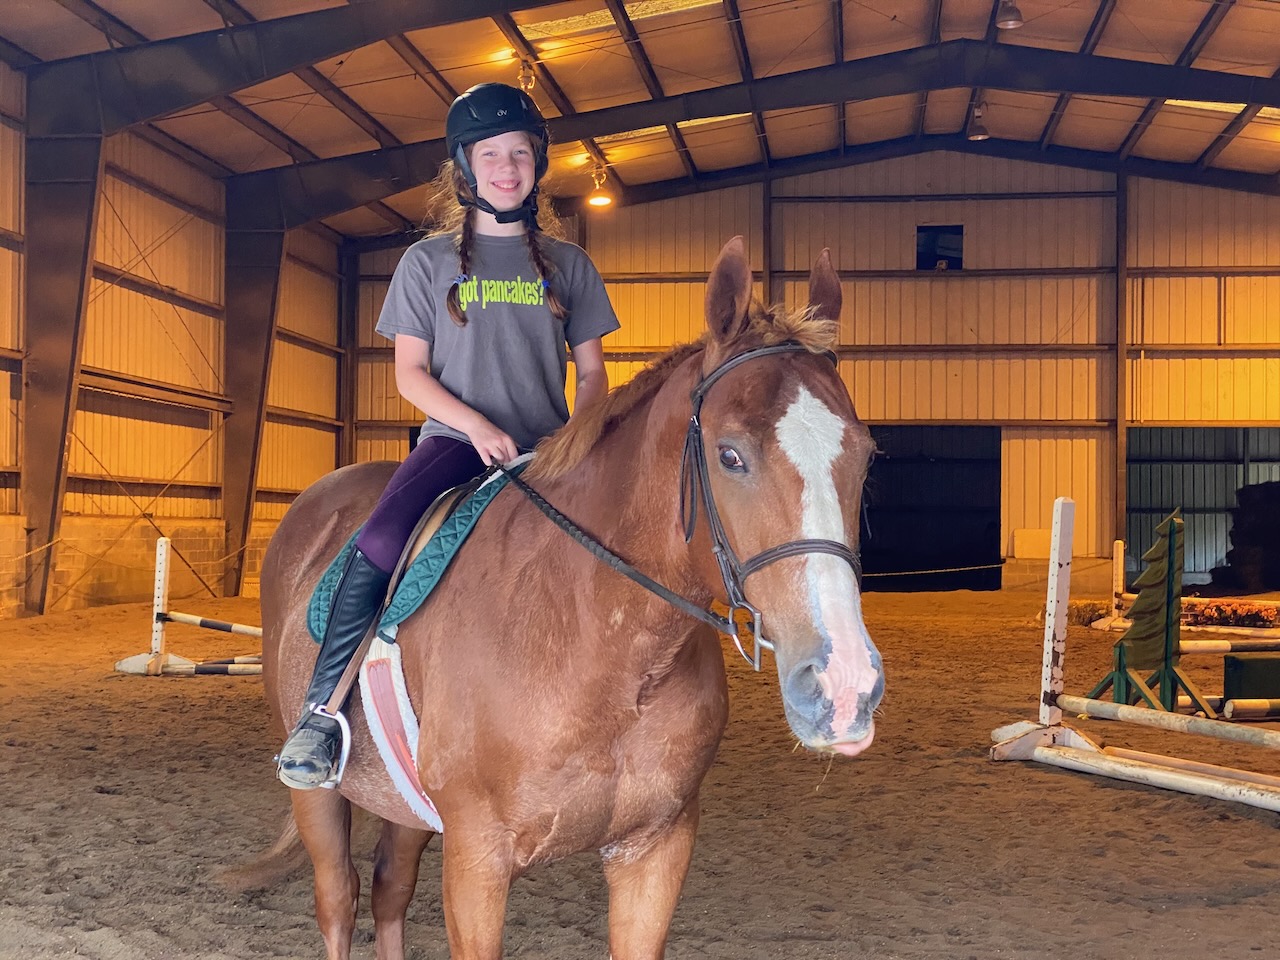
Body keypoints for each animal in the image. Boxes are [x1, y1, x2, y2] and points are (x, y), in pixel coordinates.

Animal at [254, 236, 885, 960]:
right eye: (730, 456)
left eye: (866, 455)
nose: (844, 686)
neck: (604, 646)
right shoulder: (476, 860)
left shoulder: (655, 850)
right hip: (319, 796)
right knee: (339, 898)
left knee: (389, 888)